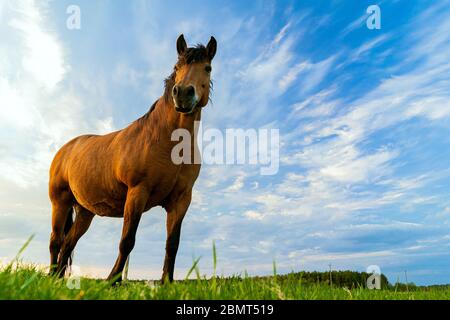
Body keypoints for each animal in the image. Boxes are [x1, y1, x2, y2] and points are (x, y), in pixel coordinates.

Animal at [48, 35, 217, 284]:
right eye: (177, 67)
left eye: (207, 68)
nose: (183, 94)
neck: (167, 140)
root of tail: (65, 149)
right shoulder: (138, 192)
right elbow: (127, 240)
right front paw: (112, 281)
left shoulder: (181, 201)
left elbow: (172, 244)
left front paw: (167, 282)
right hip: (59, 202)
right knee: (55, 241)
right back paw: (50, 276)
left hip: (85, 212)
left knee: (68, 243)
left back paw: (58, 280)